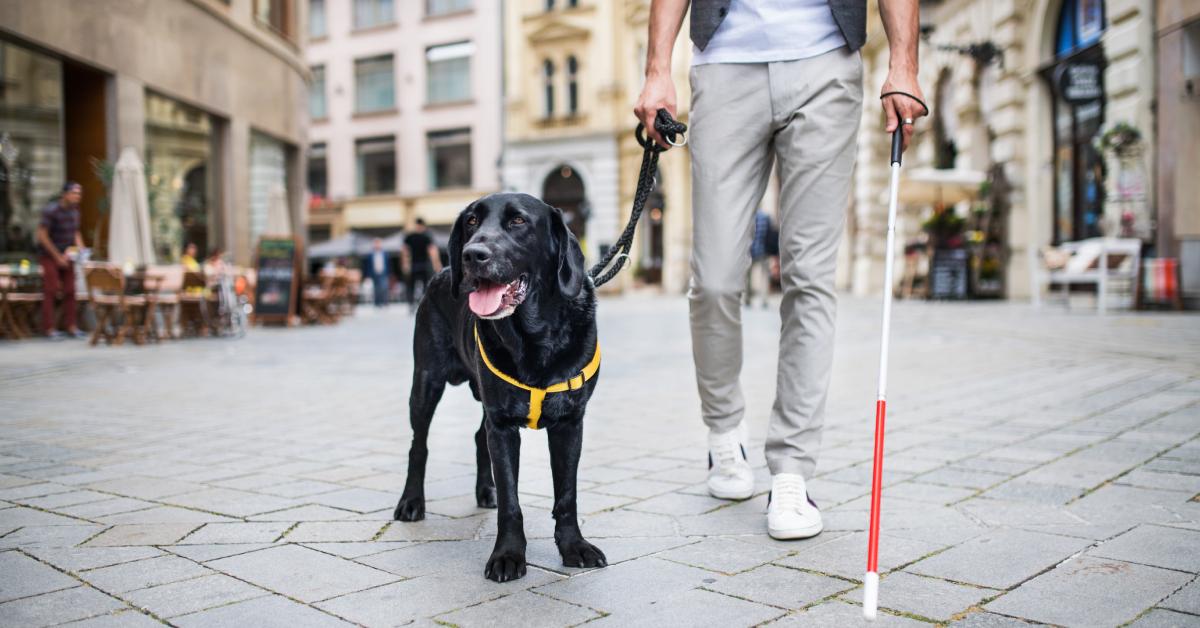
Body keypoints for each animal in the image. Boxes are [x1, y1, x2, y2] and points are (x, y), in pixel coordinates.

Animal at [396, 193, 609, 585]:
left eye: (518, 221)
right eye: (471, 221)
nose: (472, 255)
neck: (536, 335)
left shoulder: (570, 422)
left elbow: (566, 493)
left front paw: (574, 546)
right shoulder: (504, 425)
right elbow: (511, 501)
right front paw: (508, 555)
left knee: (479, 437)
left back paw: (485, 491)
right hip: (426, 382)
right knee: (419, 446)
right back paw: (411, 502)